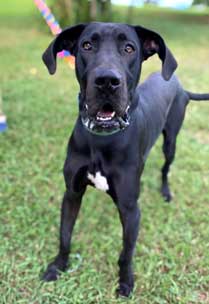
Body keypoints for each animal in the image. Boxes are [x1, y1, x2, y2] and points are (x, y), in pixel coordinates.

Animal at [41, 23, 209, 296]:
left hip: (171, 142)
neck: (101, 138)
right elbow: (65, 235)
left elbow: (125, 253)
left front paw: (126, 282)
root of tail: (179, 85)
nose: (107, 82)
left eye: (129, 48)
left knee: (165, 168)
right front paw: (58, 266)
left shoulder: (131, 210)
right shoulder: (72, 193)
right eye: (87, 45)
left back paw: (165, 191)